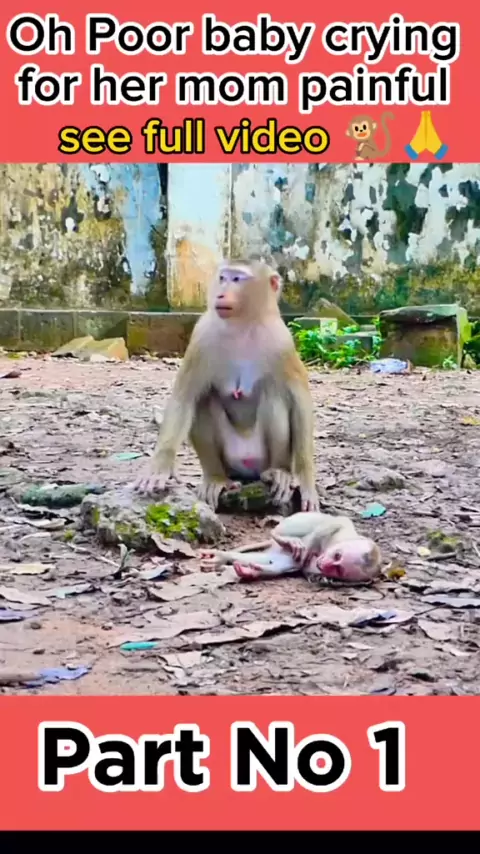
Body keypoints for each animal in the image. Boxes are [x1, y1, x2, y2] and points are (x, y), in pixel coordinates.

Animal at [134, 258, 319, 513]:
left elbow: (301, 402)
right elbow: (185, 397)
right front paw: (160, 465)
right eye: (223, 278)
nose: (221, 294)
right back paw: (216, 478)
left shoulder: (283, 341)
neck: (242, 325)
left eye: (237, 279)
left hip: (262, 457)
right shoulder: (201, 336)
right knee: (203, 399)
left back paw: (278, 473)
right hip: (230, 460)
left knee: (273, 393)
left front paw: (306, 479)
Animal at [199, 511, 382, 584]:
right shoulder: (342, 533)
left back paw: (222, 557)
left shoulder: (317, 568)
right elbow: (337, 522)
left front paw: (253, 571)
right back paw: (280, 536)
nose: (325, 564)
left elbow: (284, 565)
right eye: (337, 555)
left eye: (338, 569)